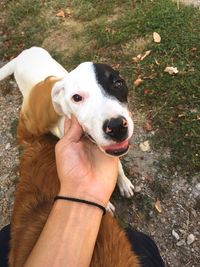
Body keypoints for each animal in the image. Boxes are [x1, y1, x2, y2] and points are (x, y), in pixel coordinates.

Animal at [0, 47, 134, 211]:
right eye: (76, 97)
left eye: (118, 84)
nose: (116, 127)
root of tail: (22, 54)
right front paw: (106, 203)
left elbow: (118, 166)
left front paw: (124, 182)